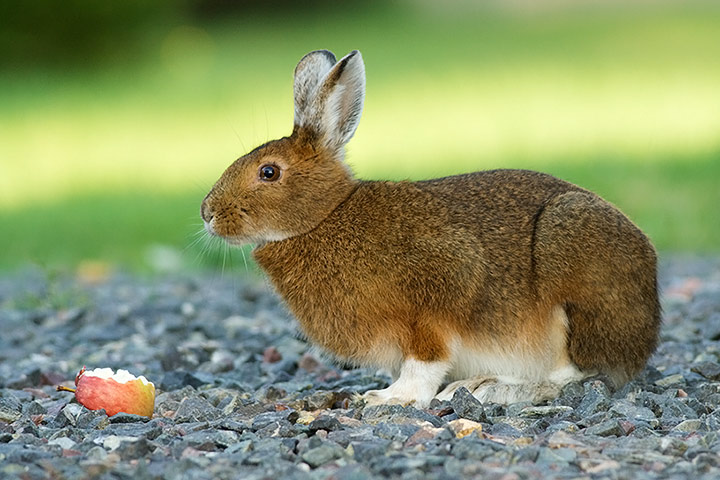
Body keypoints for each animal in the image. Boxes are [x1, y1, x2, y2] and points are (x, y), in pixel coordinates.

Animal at [201, 49, 661, 407]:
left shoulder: (440, 294)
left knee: (573, 373)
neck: (326, 215)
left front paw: (391, 398)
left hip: (570, 263)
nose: (207, 212)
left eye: (269, 172)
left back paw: (485, 388)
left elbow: (424, 361)